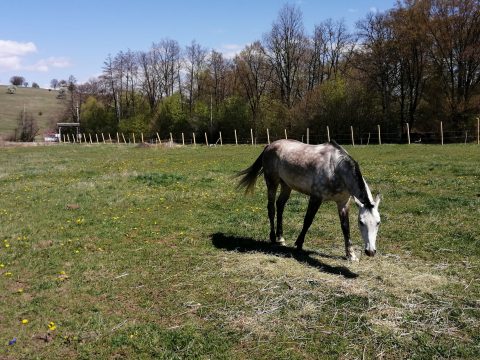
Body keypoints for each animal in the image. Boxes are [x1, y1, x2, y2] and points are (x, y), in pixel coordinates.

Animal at [234, 139, 380, 262]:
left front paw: (351, 255)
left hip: (286, 185)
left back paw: (281, 238)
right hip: (272, 183)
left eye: (378, 223)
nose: (370, 252)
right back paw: (273, 238)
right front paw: (298, 245)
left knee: (280, 206)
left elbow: (345, 227)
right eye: (361, 222)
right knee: (271, 208)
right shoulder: (316, 197)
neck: (335, 167)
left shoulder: (343, 203)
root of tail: (269, 146)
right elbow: (308, 220)